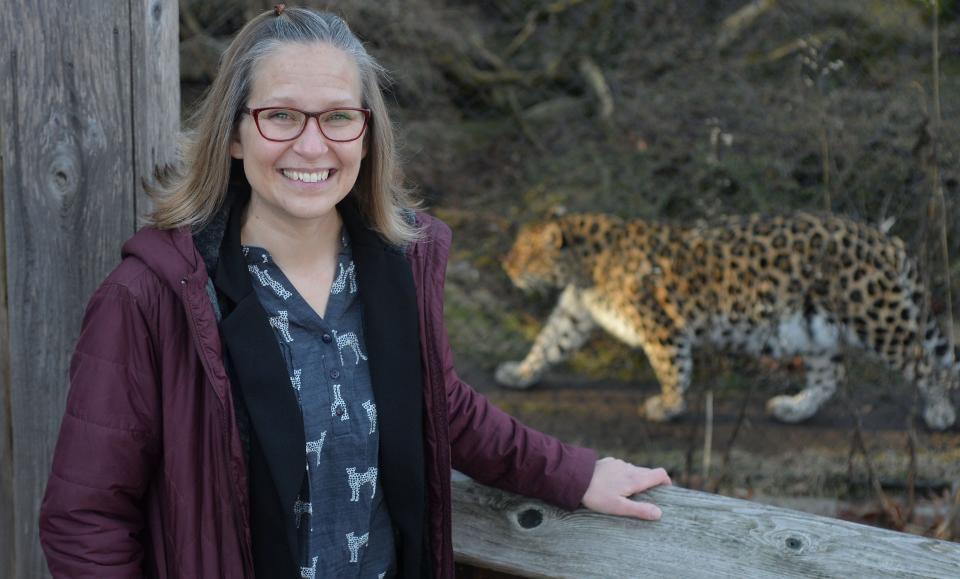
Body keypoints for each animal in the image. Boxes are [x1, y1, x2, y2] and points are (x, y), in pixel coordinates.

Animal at [498, 212, 956, 430]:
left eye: (524, 253)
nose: (505, 266)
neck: (583, 268)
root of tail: (889, 241)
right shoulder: (574, 313)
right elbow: (547, 344)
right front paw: (519, 374)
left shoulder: (660, 325)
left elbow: (672, 368)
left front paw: (668, 407)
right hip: (816, 329)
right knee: (830, 377)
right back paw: (793, 409)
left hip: (878, 320)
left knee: (927, 366)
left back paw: (940, 414)